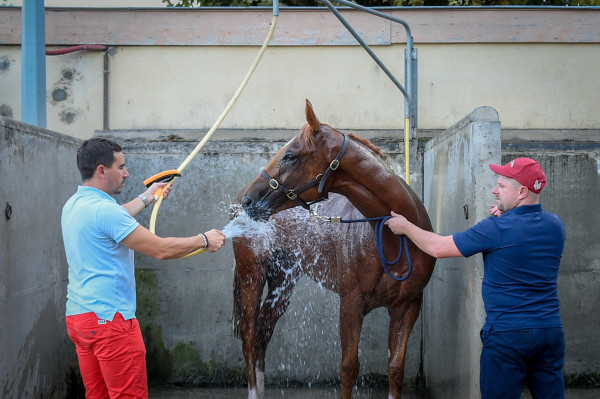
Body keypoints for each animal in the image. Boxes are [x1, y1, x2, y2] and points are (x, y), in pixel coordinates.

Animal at [231, 100, 436, 399]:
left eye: (290, 156)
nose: (249, 200)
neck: (396, 237)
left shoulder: (407, 306)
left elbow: (396, 368)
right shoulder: (351, 304)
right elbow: (349, 368)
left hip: (283, 282)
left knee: (262, 333)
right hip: (251, 276)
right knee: (249, 337)